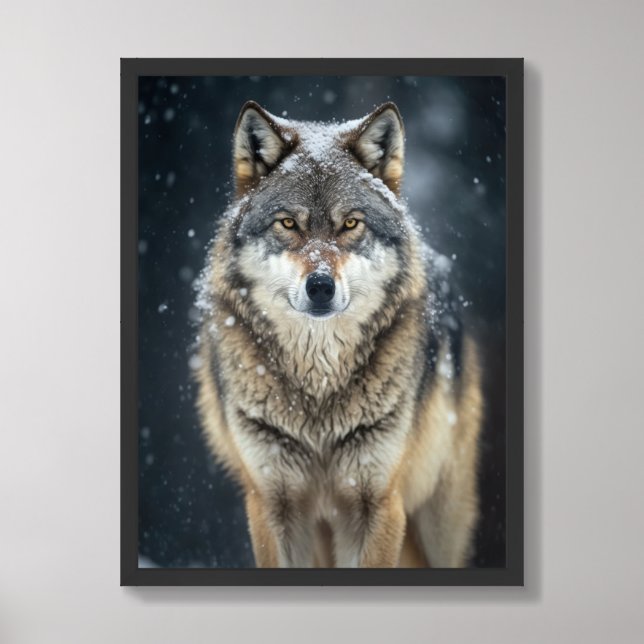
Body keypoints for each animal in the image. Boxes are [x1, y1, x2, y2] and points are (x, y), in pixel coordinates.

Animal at [194, 100, 483, 568]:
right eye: (288, 223)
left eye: (350, 224)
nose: (320, 286)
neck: (319, 390)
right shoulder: (271, 503)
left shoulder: (379, 504)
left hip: (439, 522)